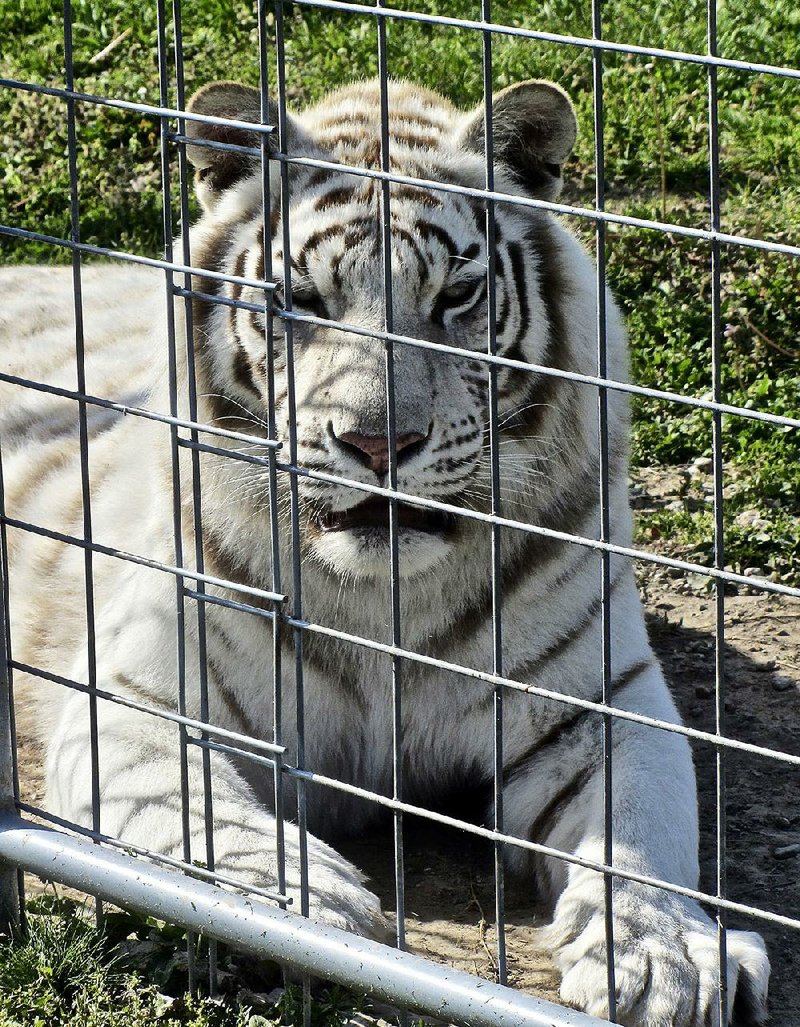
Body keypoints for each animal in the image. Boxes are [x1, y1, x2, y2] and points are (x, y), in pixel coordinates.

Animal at [3, 75, 772, 1022]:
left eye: (456, 296)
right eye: (301, 300)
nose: (376, 443)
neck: (382, 600)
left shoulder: (599, 705)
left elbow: (639, 840)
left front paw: (663, 959)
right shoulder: (135, 695)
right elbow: (201, 814)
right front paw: (311, 908)